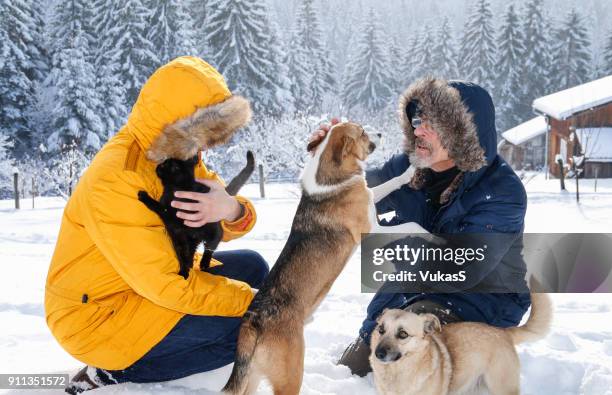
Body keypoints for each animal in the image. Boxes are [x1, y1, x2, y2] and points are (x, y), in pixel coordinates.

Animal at [225, 122, 436, 394]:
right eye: (362, 132)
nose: (380, 133)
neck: (331, 179)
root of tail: (253, 321)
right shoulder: (372, 229)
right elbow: (414, 225)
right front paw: (437, 236)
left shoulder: (370, 197)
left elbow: (389, 183)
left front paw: (409, 171)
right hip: (291, 374)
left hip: (251, 378)